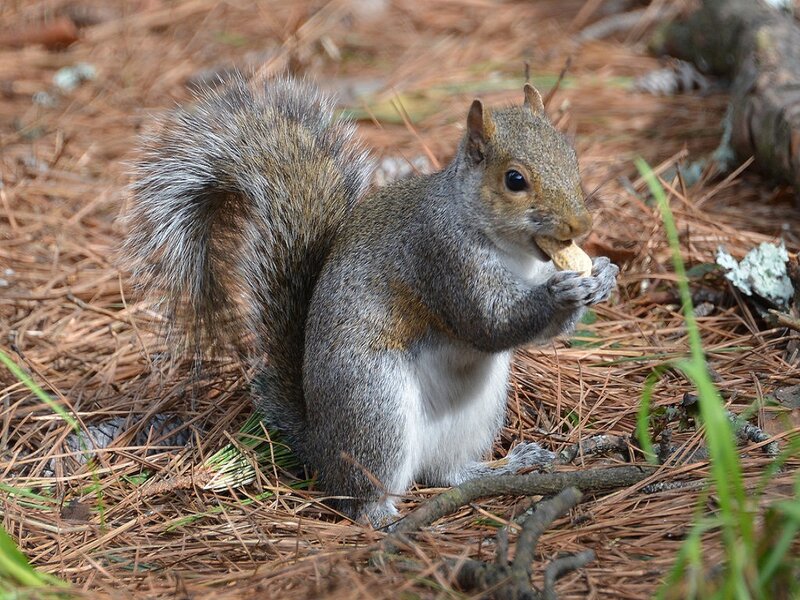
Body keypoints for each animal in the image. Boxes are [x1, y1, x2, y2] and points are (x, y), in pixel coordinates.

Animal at [123, 73, 618, 527]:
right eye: (515, 180)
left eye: (571, 155)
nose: (581, 224)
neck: (513, 252)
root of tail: (320, 447)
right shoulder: (440, 257)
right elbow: (488, 323)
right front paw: (563, 293)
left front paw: (604, 274)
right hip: (374, 408)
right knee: (361, 498)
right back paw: (387, 518)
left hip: (477, 412)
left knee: (446, 474)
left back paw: (509, 465)